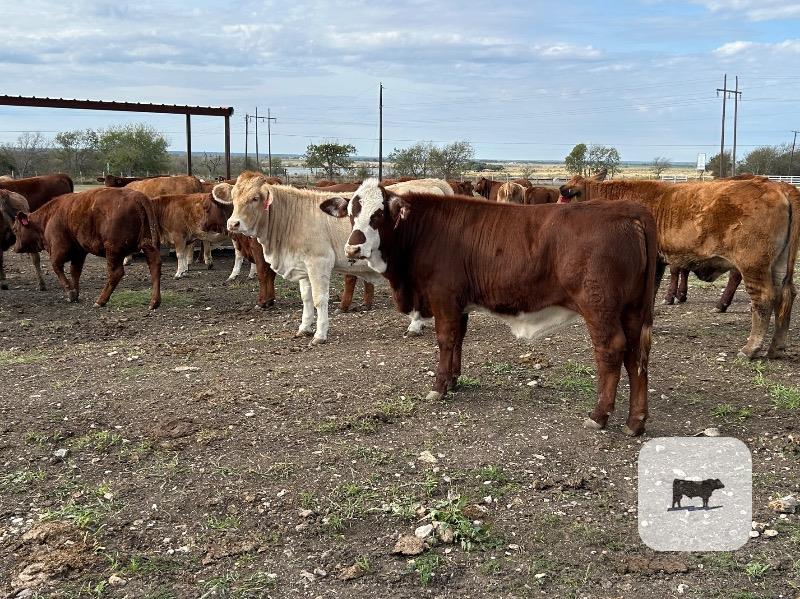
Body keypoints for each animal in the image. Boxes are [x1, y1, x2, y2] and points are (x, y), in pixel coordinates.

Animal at [12, 187, 162, 309]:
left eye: (15, 229)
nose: (15, 248)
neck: (49, 217)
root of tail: (138, 196)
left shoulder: (58, 250)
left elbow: (57, 268)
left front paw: (70, 293)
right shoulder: (79, 252)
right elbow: (75, 272)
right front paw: (75, 293)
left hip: (112, 250)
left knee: (115, 273)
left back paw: (100, 301)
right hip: (146, 244)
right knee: (154, 265)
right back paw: (154, 302)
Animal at [320, 179, 661, 435]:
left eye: (379, 214)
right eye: (351, 212)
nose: (353, 247)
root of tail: (630, 209)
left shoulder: (443, 296)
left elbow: (445, 339)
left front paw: (439, 386)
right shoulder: (459, 303)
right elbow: (458, 339)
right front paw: (454, 380)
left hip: (599, 307)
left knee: (612, 349)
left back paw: (599, 415)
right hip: (633, 310)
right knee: (637, 354)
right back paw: (635, 422)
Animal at [559, 171, 800, 359]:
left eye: (566, 196)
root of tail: (778, 185)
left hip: (753, 266)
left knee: (764, 299)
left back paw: (751, 348)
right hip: (778, 266)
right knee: (786, 295)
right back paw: (776, 347)